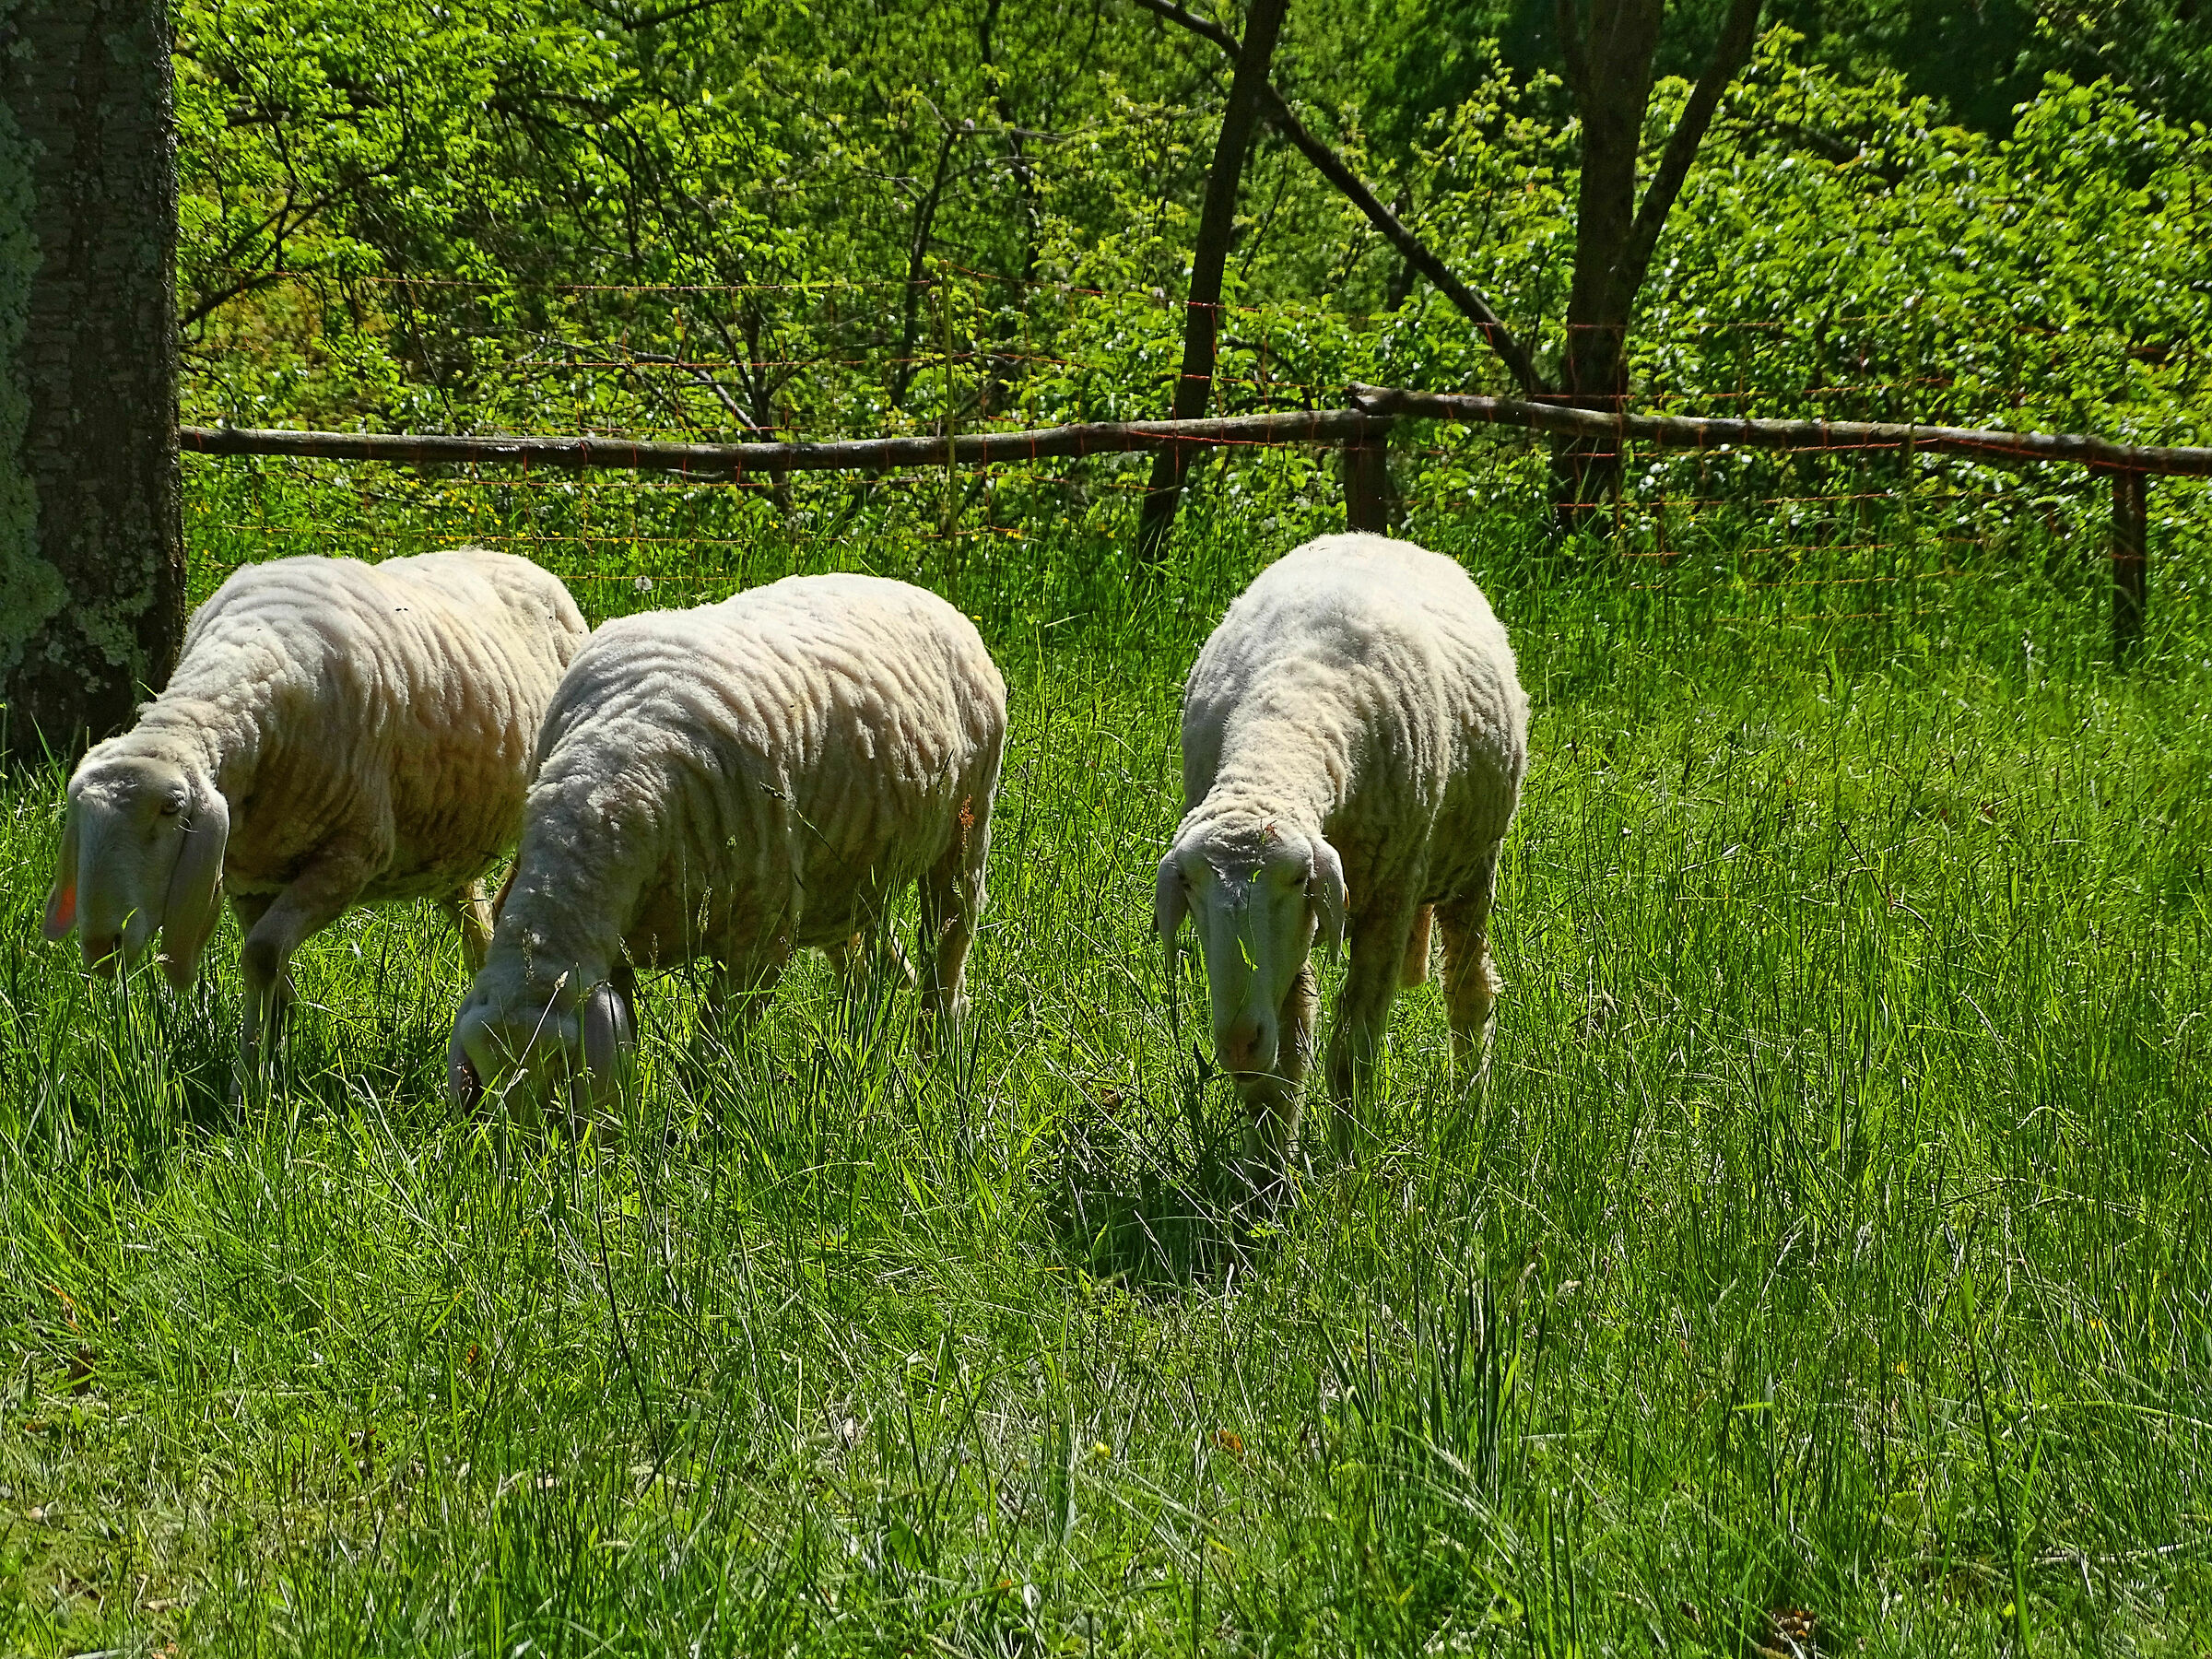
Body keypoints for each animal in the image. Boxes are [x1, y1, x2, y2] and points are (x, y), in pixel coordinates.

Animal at [42, 548, 591, 1083]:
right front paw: (270, 1057)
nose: (102, 946)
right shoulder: (250, 877)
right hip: (447, 839)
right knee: (472, 914)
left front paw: (248, 1081)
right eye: (79, 815)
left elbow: (262, 955)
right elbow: (272, 969)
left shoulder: (350, 858)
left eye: (171, 808)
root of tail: (516, 559)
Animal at [445, 572, 1008, 1123]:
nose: (523, 1154)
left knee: (948, 948)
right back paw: (864, 1042)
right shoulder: (616, 951)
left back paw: (938, 1055)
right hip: (850, 867)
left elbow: (711, 1054)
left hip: (966, 831)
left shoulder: (756, 944)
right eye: (480, 1076)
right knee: (866, 962)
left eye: (559, 1070)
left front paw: (692, 1126)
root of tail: (915, 590)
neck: (608, 780)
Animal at [1154, 531, 1528, 1187]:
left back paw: (1470, 1112)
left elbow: (1353, 1053)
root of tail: (1377, 537)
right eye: (1191, 887)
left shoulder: (1389, 902)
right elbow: (1284, 1057)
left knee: (1469, 992)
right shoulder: (1293, 942)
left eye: (1298, 877)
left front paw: (1347, 1168)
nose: (1237, 1043)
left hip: (1471, 869)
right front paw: (1269, 1174)